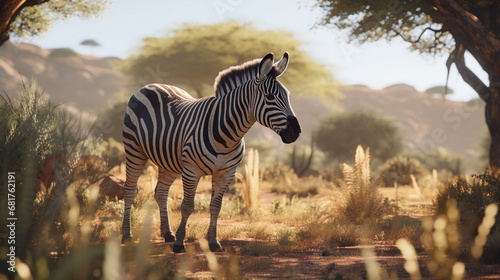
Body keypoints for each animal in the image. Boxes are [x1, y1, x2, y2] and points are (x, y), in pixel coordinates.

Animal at [121, 52, 300, 252]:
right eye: (269, 96)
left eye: (288, 96)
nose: (296, 132)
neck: (227, 134)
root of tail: (151, 85)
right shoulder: (191, 171)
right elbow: (187, 206)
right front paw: (180, 243)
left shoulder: (226, 173)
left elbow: (216, 206)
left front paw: (213, 242)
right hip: (134, 149)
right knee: (130, 190)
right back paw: (127, 235)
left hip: (169, 160)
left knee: (161, 192)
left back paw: (167, 233)